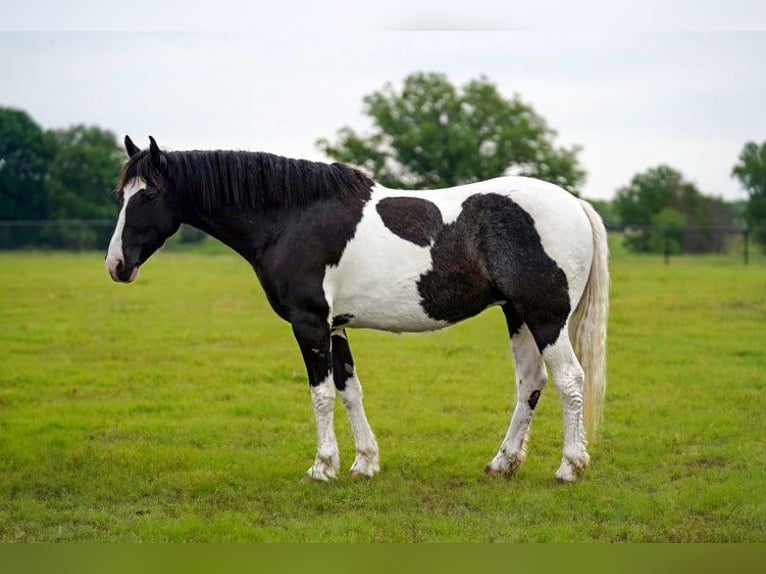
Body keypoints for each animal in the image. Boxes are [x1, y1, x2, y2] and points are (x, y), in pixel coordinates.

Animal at [106, 137, 612, 484]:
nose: (116, 265)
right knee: (530, 382)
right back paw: (502, 463)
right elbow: (350, 390)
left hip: (545, 317)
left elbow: (321, 393)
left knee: (569, 380)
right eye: (120, 195)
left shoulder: (308, 322)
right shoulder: (335, 327)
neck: (293, 218)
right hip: (517, 315)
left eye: (147, 195)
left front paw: (322, 466)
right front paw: (364, 463)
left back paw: (569, 467)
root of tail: (575, 204)